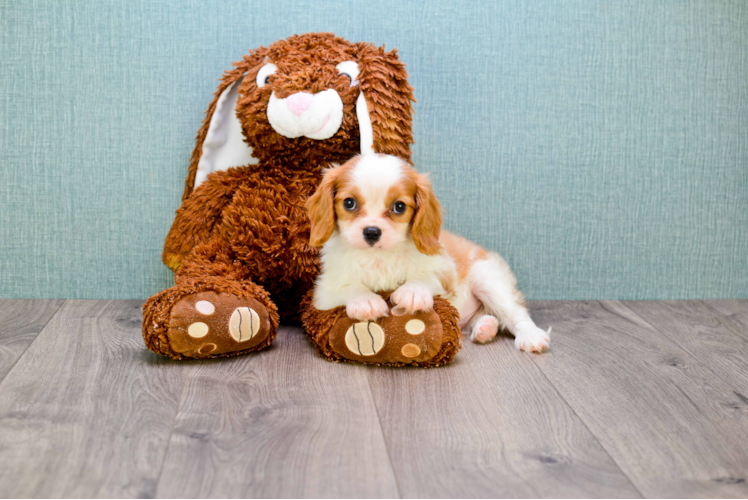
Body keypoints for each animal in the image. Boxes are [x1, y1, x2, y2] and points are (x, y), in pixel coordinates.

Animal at [304, 152, 548, 352]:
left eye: (399, 207)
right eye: (349, 203)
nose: (372, 232)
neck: (380, 256)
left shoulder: (445, 270)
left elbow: (425, 276)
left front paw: (413, 291)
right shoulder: (323, 293)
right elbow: (349, 286)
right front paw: (366, 301)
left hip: (487, 277)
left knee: (516, 313)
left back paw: (531, 336)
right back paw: (485, 327)